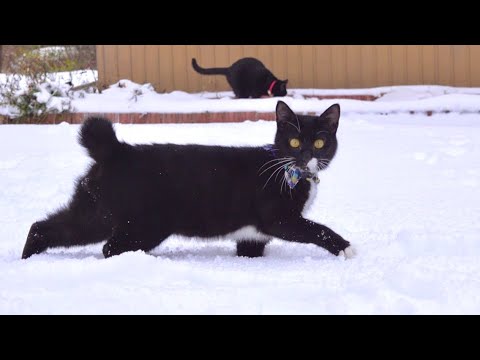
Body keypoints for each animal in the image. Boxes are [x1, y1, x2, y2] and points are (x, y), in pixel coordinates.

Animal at [20, 101, 354, 258]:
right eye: (295, 142)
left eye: (320, 142)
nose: (307, 154)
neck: (288, 170)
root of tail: (116, 150)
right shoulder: (279, 219)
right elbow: (317, 229)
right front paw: (346, 248)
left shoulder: (252, 235)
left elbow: (250, 251)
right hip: (142, 226)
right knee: (110, 249)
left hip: (95, 212)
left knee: (46, 227)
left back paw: (27, 260)